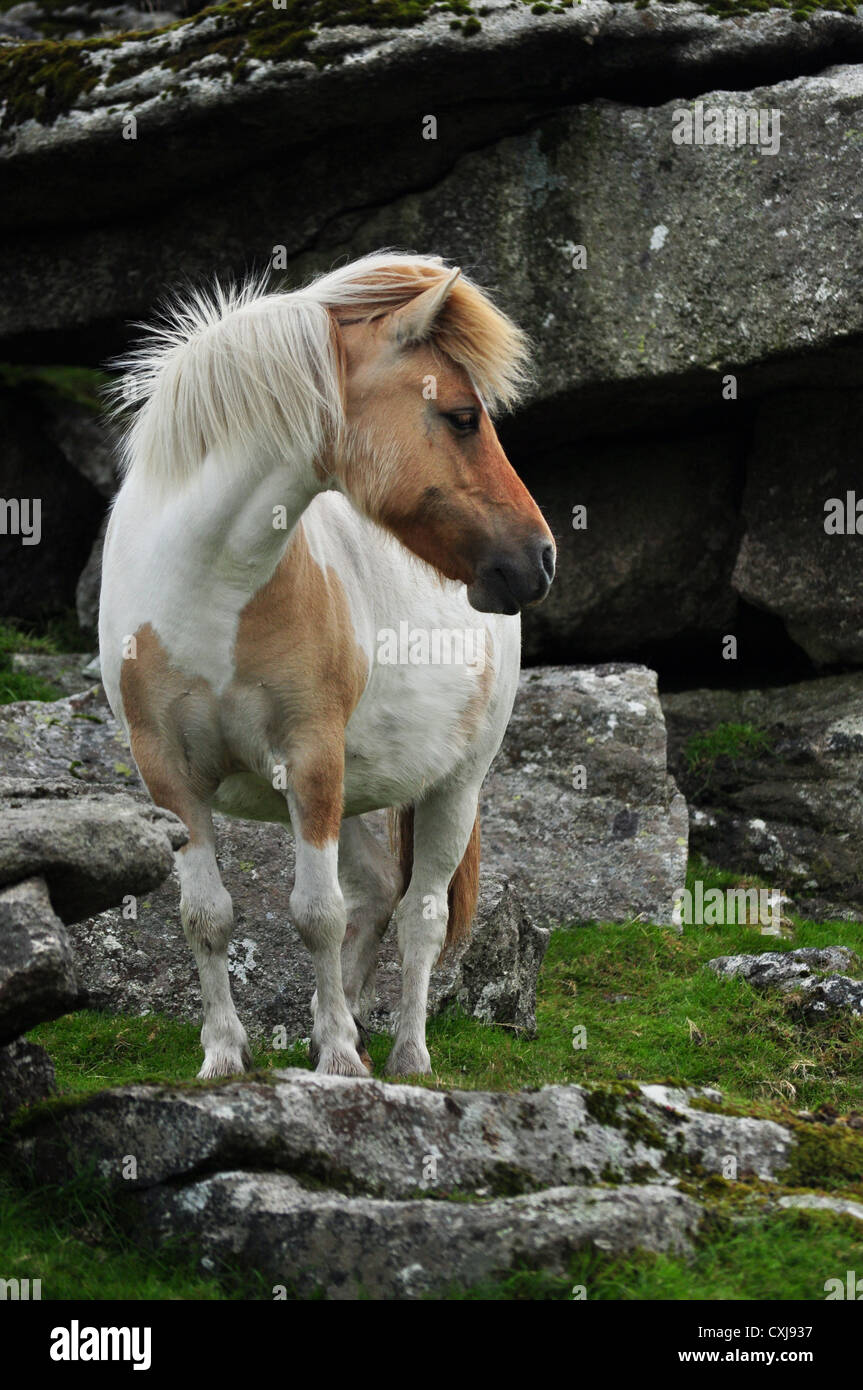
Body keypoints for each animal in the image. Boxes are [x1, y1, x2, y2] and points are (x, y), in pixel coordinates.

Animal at [98, 251, 555, 1080]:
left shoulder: (310, 758)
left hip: (451, 789)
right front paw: (226, 1056)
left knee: (419, 915)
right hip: (358, 794)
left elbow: (317, 915)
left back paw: (405, 1055)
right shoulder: (170, 776)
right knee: (376, 899)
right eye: (460, 417)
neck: (208, 585)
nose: (537, 559)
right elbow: (206, 916)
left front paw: (341, 1057)